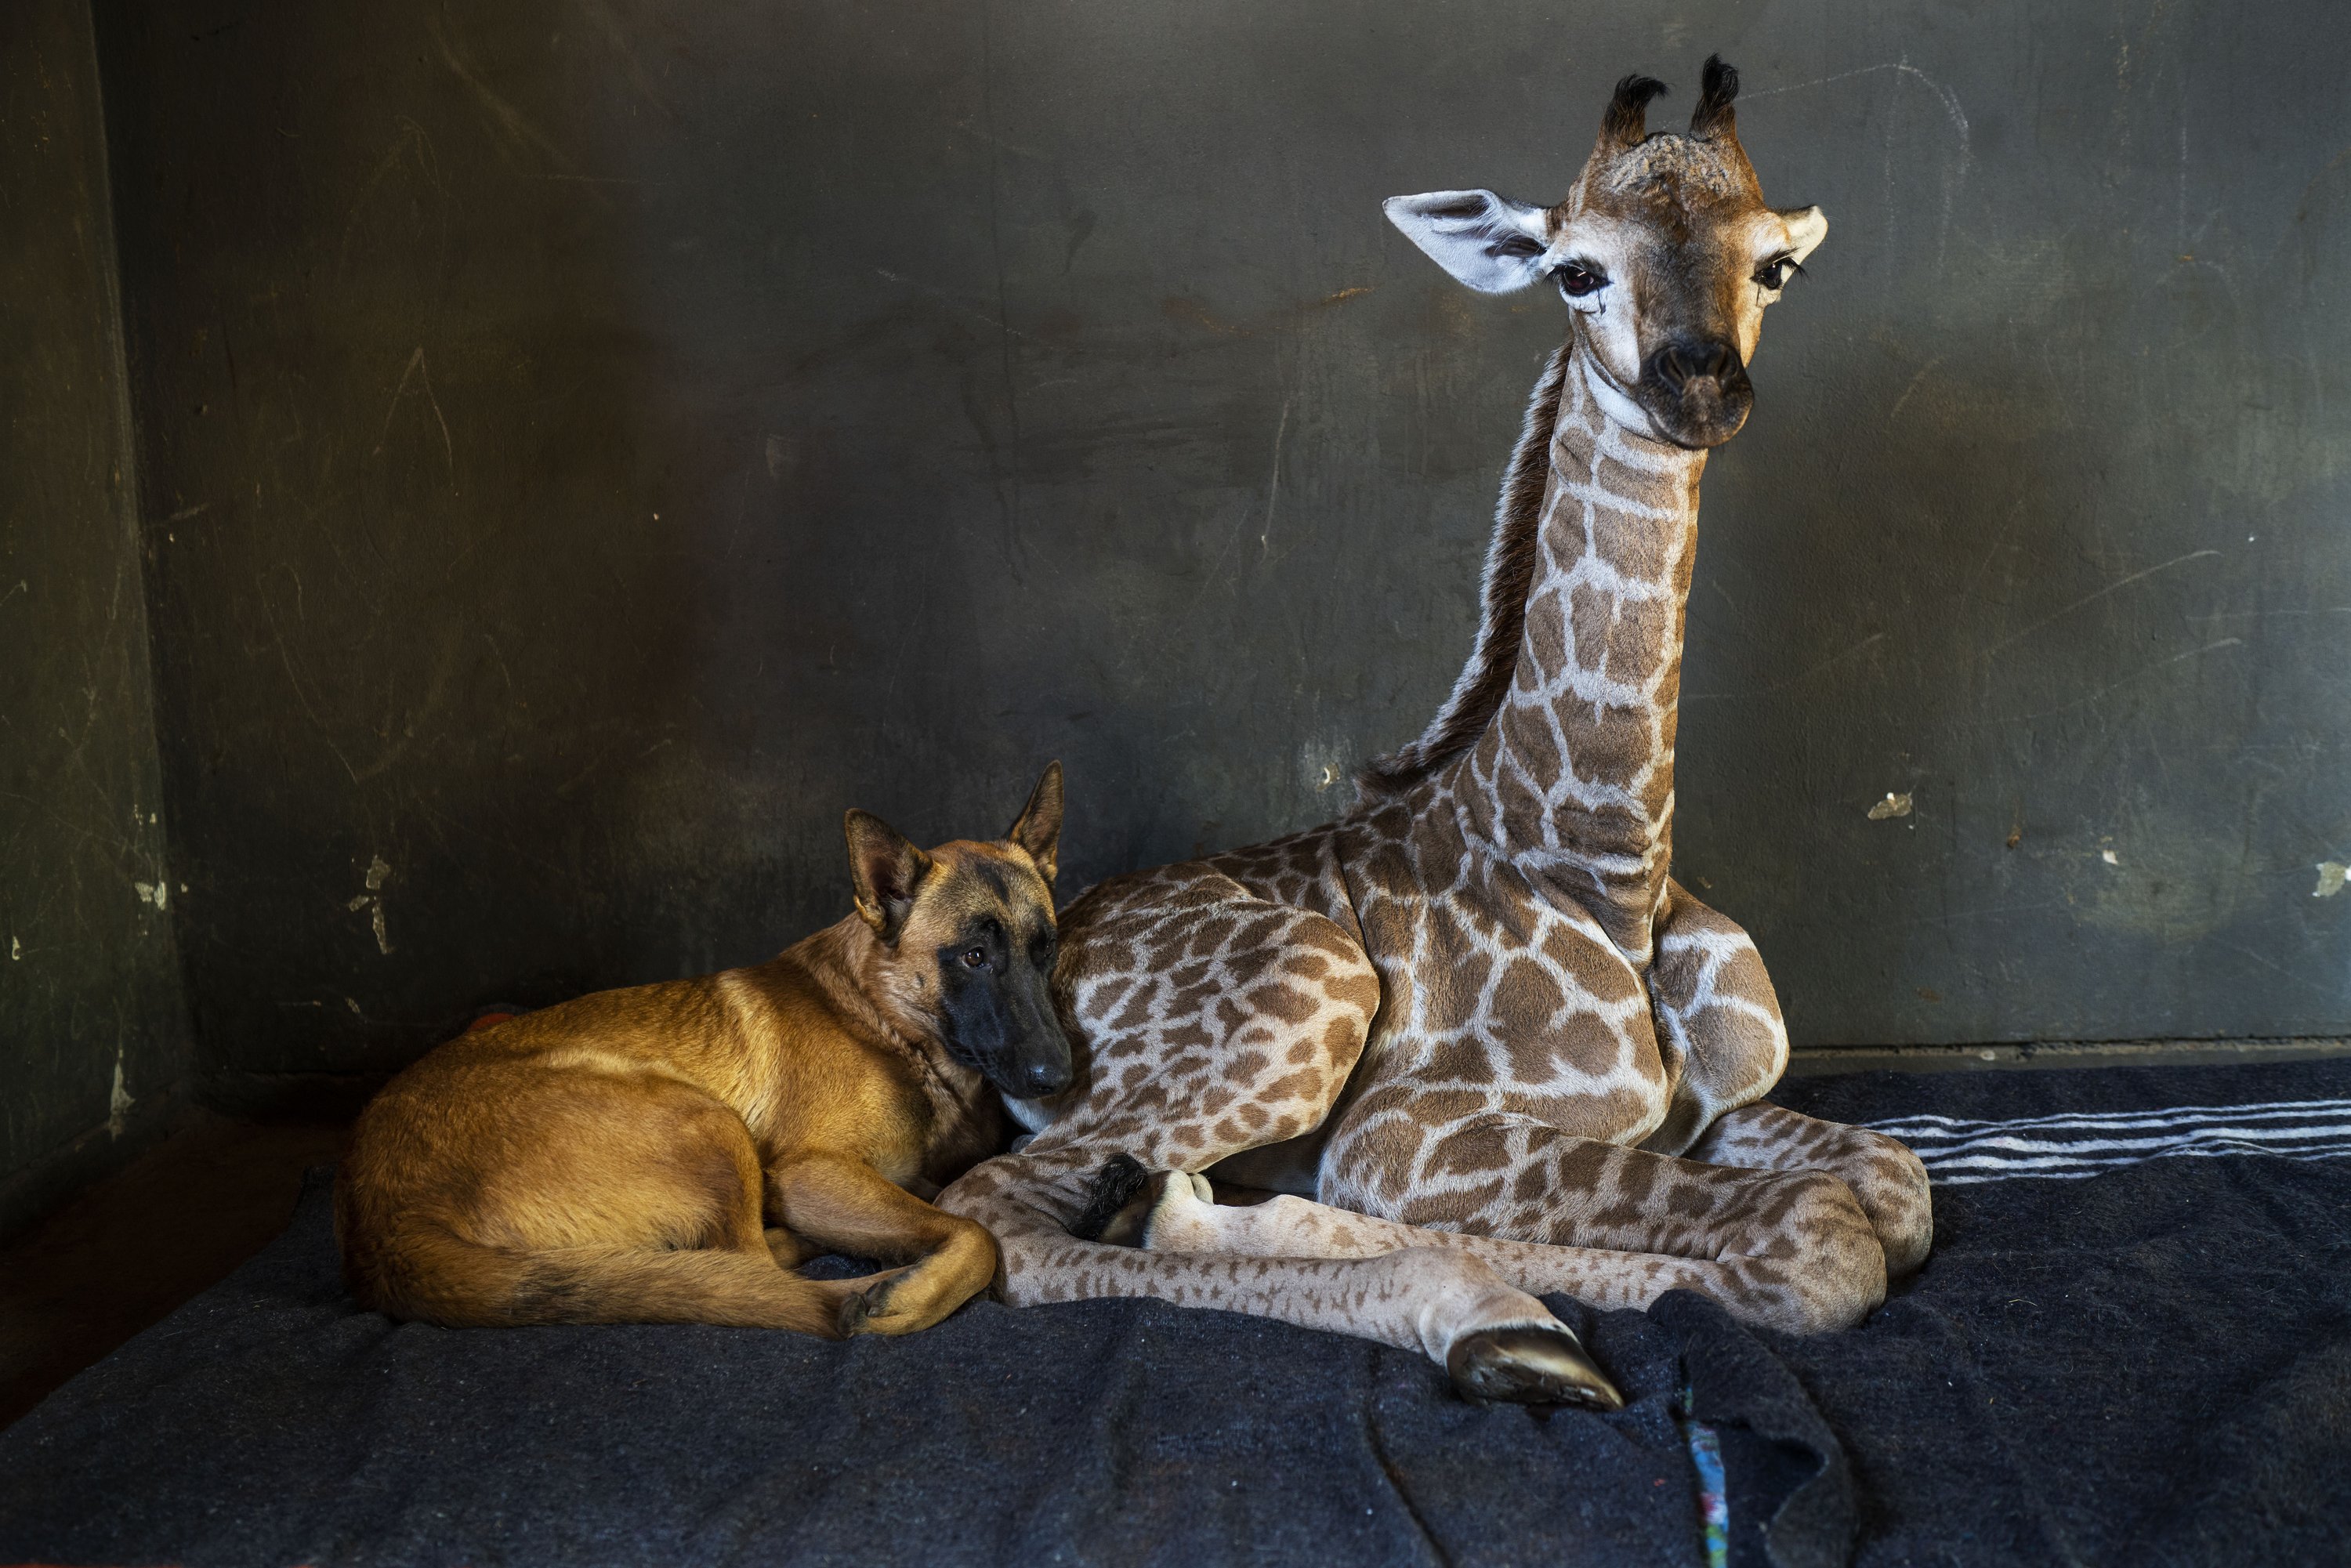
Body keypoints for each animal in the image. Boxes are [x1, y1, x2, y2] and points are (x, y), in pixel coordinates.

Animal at [336, 766, 1072, 1345]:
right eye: (972, 956)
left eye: (1047, 949)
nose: (1059, 1076)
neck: (888, 1019)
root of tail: (384, 1230)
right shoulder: (811, 1171)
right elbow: (975, 1236)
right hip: (707, 1123)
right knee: (751, 1264)